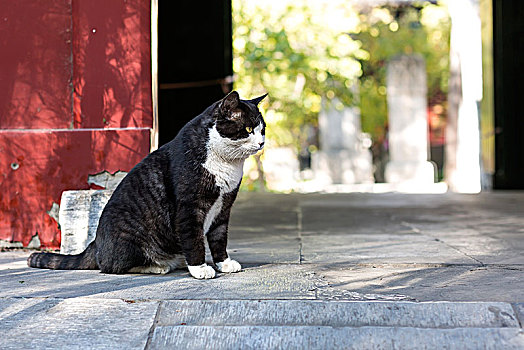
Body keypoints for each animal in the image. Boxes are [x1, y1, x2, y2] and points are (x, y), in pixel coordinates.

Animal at [28, 91, 266, 280]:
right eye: (248, 128)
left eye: (262, 129)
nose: (262, 142)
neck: (226, 162)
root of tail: (94, 245)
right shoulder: (189, 208)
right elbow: (194, 239)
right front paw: (199, 268)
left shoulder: (224, 207)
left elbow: (219, 238)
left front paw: (224, 263)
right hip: (129, 237)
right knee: (111, 266)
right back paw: (157, 266)